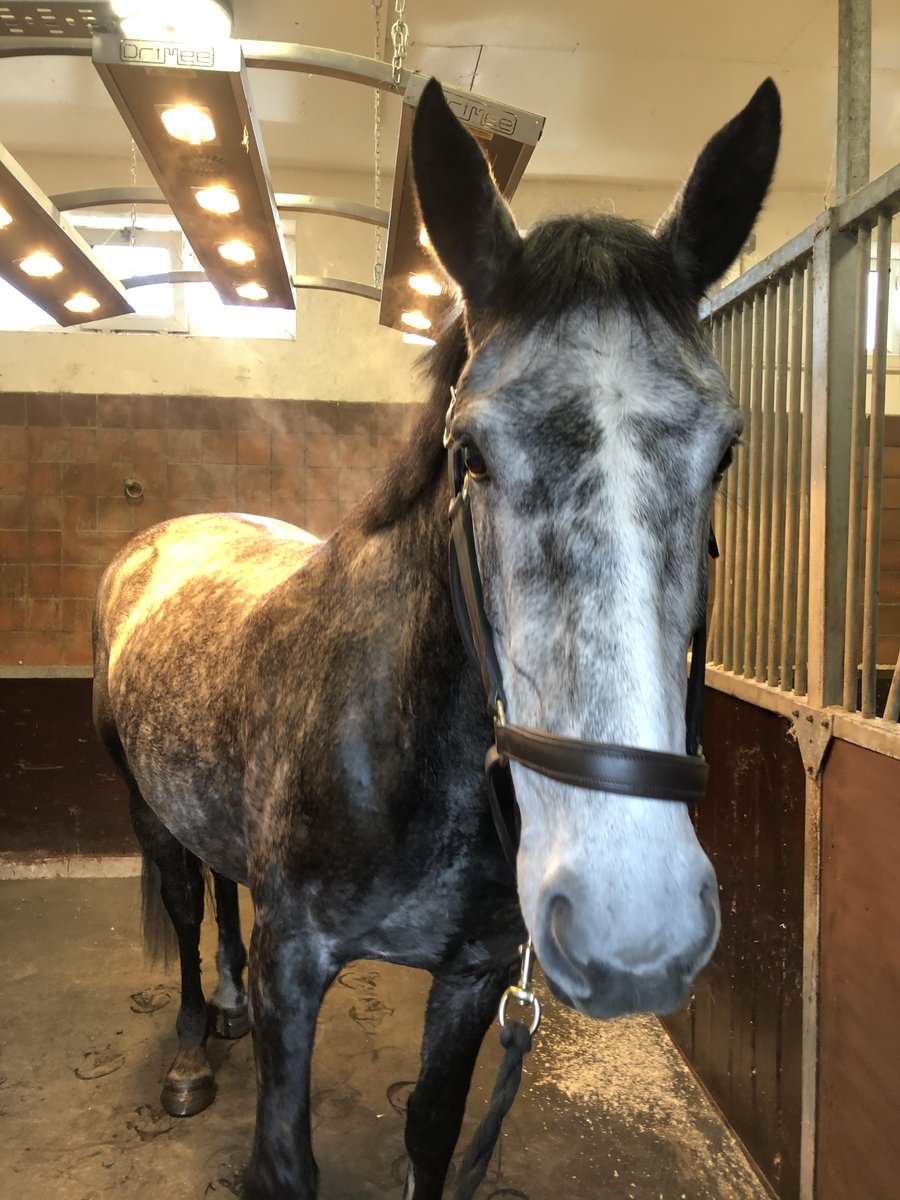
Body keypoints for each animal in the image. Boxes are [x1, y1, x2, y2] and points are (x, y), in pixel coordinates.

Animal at [92, 77, 780, 1199]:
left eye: (723, 453)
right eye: (472, 450)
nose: (634, 926)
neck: (406, 751)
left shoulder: (473, 978)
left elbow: (429, 1130)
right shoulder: (295, 963)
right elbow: (285, 1158)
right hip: (145, 806)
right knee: (188, 904)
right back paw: (196, 1041)